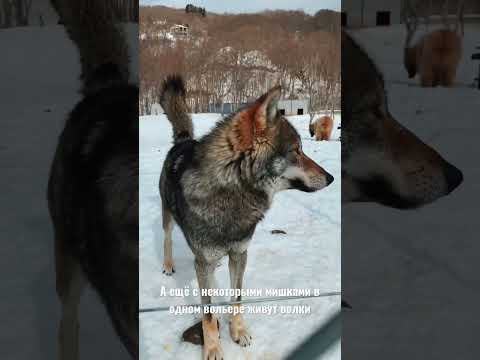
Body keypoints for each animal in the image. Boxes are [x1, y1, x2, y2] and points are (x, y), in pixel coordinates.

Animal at [159, 75, 332, 358]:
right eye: (296, 151)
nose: (331, 178)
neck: (232, 193)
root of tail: (183, 141)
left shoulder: (240, 253)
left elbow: (237, 297)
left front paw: (238, 332)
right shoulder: (203, 262)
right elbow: (208, 314)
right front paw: (213, 348)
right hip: (168, 219)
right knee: (167, 239)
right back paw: (168, 264)